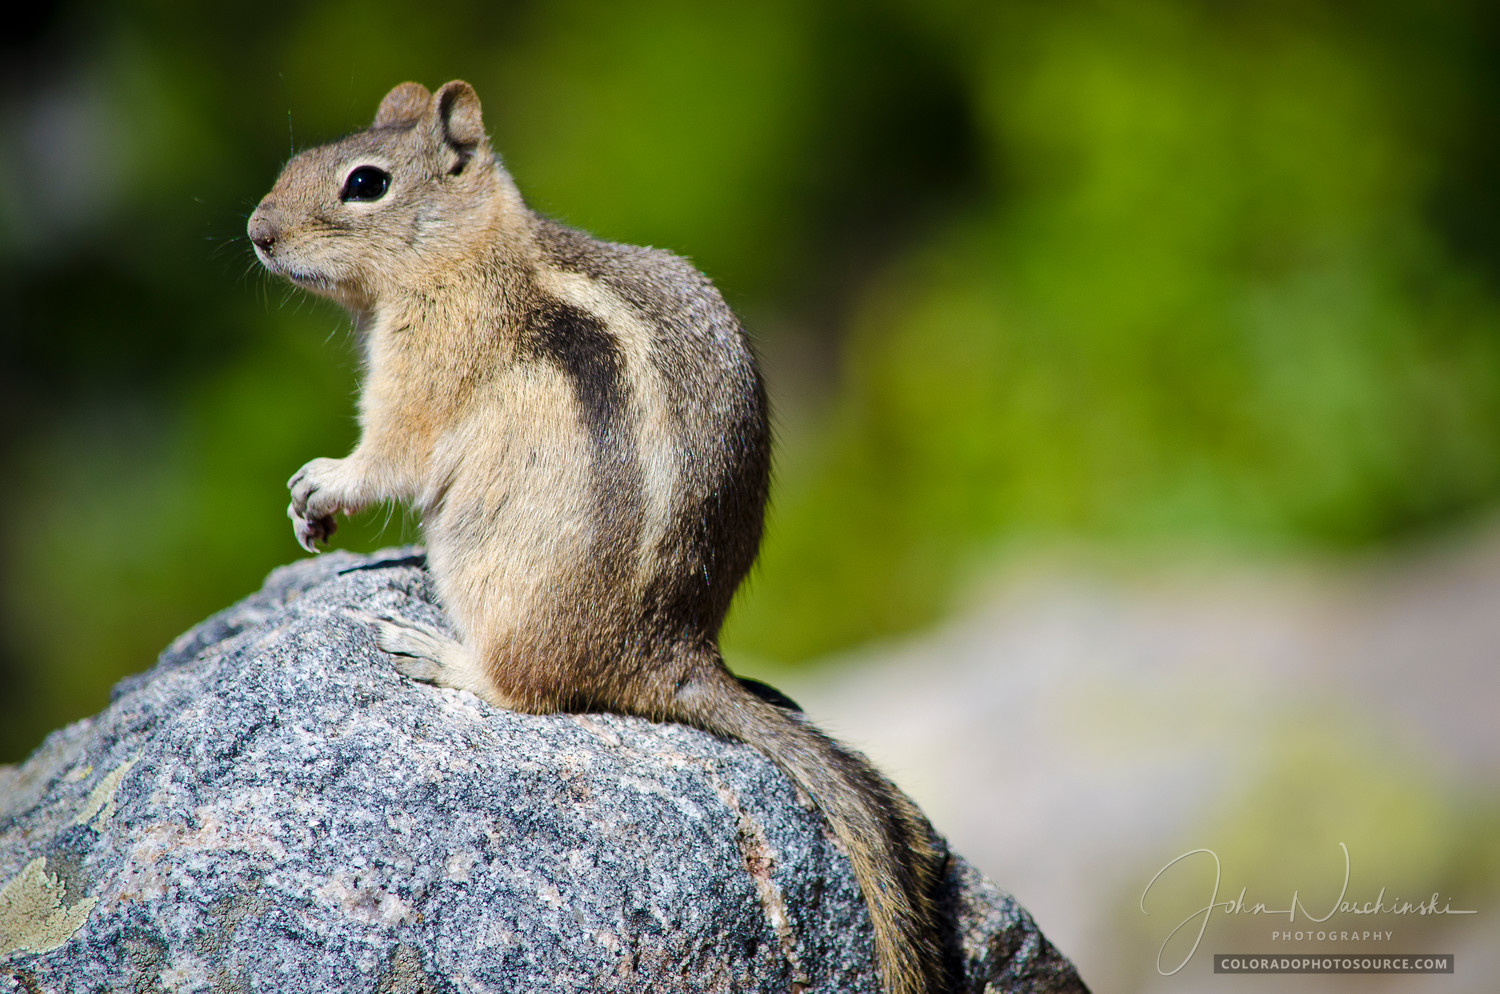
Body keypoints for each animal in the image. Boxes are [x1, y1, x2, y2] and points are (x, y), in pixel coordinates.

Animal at [248, 80, 947, 994]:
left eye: (364, 184)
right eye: (297, 160)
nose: (257, 231)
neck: (465, 252)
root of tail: (669, 652)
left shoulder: (426, 369)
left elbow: (391, 454)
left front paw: (322, 483)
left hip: (480, 558)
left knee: (528, 688)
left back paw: (440, 654)